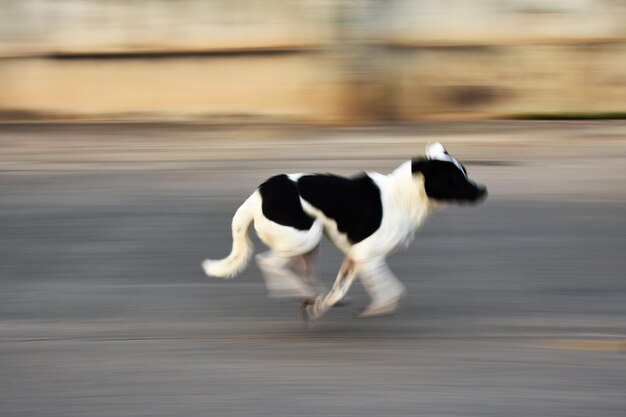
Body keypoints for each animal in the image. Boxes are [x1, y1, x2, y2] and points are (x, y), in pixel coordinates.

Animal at [202, 141, 486, 320]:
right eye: (454, 178)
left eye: (464, 171)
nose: (483, 190)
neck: (406, 195)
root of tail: (259, 193)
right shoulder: (366, 256)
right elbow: (392, 292)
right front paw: (374, 310)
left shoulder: (355, 258)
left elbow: (342, 288)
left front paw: (322, 306)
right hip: (305, 237)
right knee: (268, 262)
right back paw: (297, 291)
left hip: (310, 244)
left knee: (302, 274)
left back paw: (309, 295)